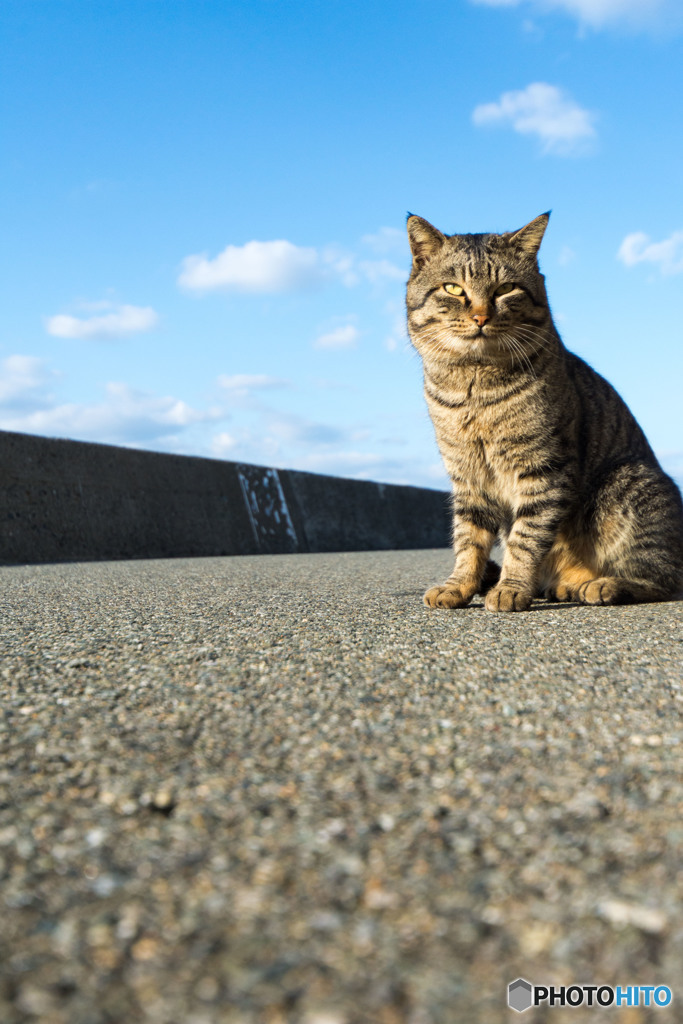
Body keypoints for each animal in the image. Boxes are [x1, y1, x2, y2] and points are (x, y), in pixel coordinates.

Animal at [405, 207, 683, 606]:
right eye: (453, 289)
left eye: (505, 289)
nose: (481, 317)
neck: (475, 384)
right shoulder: (467, 475)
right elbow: (468, 538)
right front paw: (458, 585)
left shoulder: (542, 467)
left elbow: (526, 538)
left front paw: (511, 588)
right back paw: (567, 586)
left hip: (628, 484)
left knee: (662, 577)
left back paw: (604, 584)